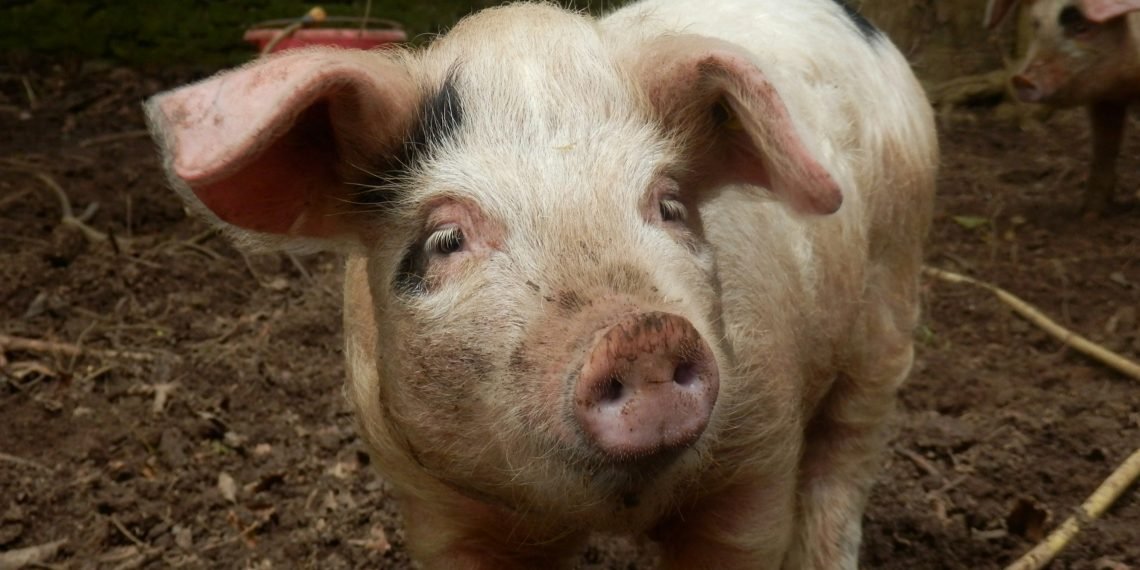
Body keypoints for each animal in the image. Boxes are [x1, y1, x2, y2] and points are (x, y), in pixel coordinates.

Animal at [145, 0, 937, 567]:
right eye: (445, 240)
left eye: (669, 205)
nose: (642, 332)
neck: (607, 510)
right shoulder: (433, 501)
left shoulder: (756, 464)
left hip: (892, 297)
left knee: (844, 459)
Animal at [985, 0, 1140, 215]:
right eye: (1036, 23)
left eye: (1082, 27)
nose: (1021, 80)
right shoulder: (1106, 99)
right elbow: (1104, 148)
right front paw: (1089, 215)